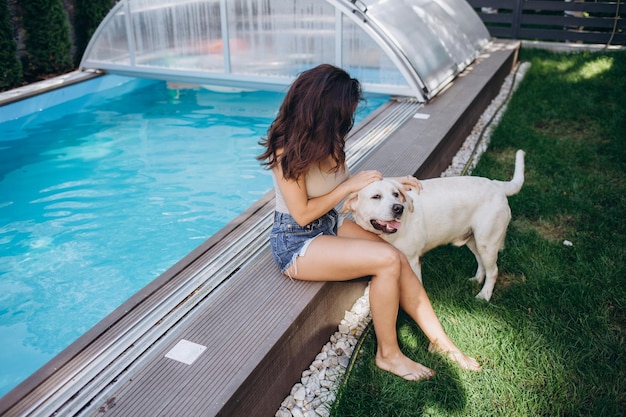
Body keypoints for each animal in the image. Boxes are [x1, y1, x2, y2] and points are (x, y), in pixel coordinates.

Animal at [338, 150, 524, 300]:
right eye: (376, 197)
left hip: (487, 242)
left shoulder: (412, 262)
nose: (398, 208)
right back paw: (476, 280)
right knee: (481, 263)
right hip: (474, 240)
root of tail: (495, 183)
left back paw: (484, 295)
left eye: (396, 194)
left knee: (493, 271)